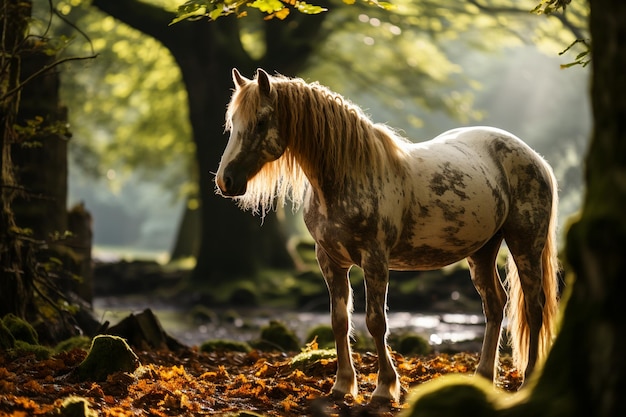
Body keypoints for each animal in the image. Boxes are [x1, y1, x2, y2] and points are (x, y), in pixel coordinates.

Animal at [213, 69, 556, 404]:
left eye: (260, 121)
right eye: (232, 123)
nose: (225, 181)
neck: (349, 175)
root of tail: (533, 157)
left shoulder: (375, 260)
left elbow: (376, 322)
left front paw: (384, 388)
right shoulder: (330, 260)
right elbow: (339, 321)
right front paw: (342, 386)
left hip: (526, 244)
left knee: (533, 306)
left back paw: (529, 379)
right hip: (482, 251)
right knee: (495, 305)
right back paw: (483, 376)